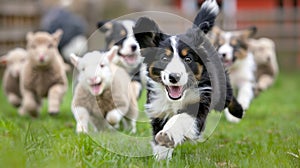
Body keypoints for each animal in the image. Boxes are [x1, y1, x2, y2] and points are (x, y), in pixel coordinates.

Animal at [132, 0, 243, 160]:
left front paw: (167, 135)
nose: (174, 77)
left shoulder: (199, 104)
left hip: (221, 89)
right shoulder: (158, 110)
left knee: (228, 97)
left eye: (188, 59)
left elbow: (180, 119)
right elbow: (159, 135)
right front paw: (161, 157)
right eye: (164, 58)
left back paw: (238, 111)